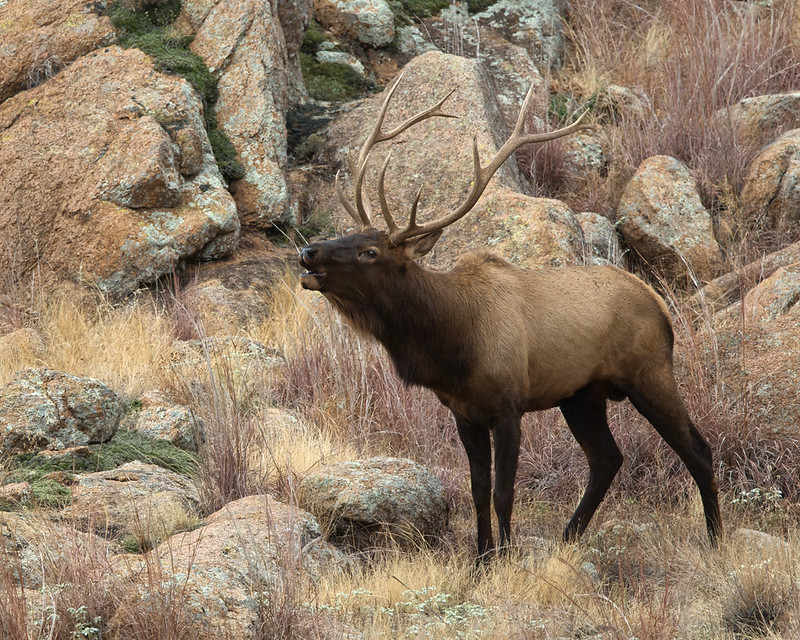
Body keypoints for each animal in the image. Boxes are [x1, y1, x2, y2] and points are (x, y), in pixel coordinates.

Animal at [298, 74, 723, 560]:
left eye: (370, 251)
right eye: (350, 234)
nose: (307, 252)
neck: (451, 344)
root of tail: (661, 306)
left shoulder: (508, 405)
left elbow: (504, 492)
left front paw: (504, 555)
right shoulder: (463, 412)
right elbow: (478, 490)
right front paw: (481, 558)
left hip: (649, 372)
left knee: (698, 449)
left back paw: (716, 539)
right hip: (582, 394)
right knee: (607, 458)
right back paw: (568, 536)